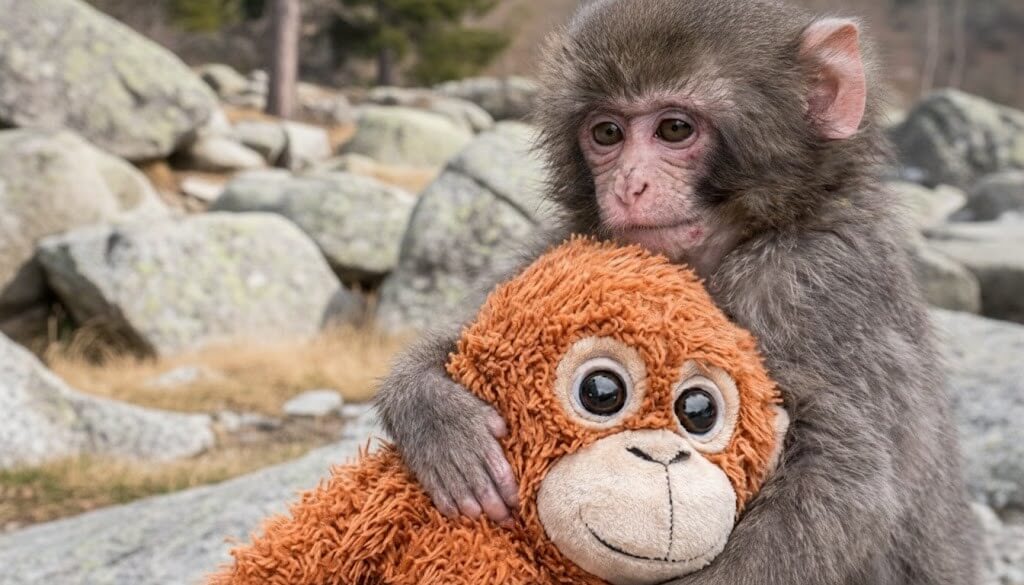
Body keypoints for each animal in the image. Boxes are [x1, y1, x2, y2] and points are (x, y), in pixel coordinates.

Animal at [376, 1, 980, 584]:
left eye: (673, 129)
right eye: (607, 133)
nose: (628, 185)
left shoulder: (816, 283)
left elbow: (849, 480)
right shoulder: (571, 244)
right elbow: (478, 332)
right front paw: (439, 419)